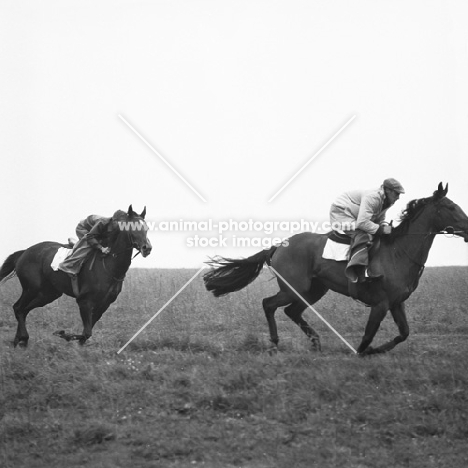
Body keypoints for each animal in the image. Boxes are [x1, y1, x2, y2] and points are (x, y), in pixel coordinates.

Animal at [0, 206, 151, 348]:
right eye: (133, 228)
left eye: (147, 228)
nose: (147, 248)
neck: (109, 266)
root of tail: (25, 252)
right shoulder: (84, 301)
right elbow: (87, 332)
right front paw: (62, 334)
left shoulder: (104, 304)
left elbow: (86, 334)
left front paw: (72, 341)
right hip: (31, 288)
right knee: (18, 308)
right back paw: (22, 338)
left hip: (48, 294)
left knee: (24, 310)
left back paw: (20, 341)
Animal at [204, 183, 468, 354]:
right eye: (451, 207)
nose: (467, 228)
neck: (398, 252)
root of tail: (278, 246)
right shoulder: (381, 303)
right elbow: (369, 334)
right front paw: (363, 351)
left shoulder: (396, 302)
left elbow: (404, 332)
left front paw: (378, 349)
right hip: (294, 288)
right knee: (269, 304)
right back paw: (275, 342)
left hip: (315, 289)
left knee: (292, 311)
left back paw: (316, 342)